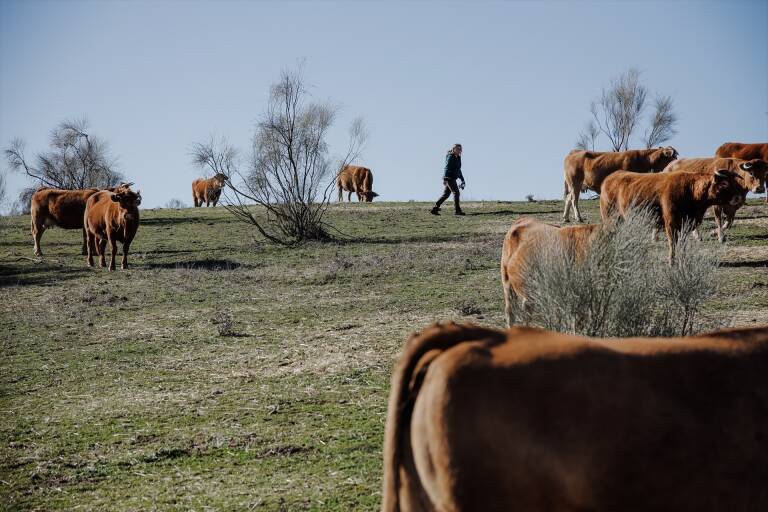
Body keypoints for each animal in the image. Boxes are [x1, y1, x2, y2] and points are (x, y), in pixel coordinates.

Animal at [600, 170, 744, 264]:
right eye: (724, 184)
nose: (738, 197)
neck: (690, 191)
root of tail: (611, 177)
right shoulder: (670, 223)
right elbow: (672, 243)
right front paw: (672, 261)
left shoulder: (686, 225)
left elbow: (682, 243)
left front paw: (682, 259)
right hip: (610, 217)